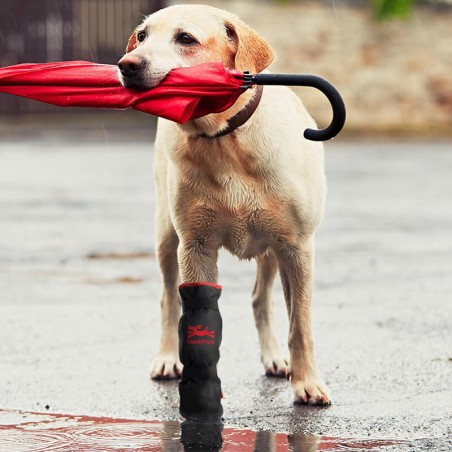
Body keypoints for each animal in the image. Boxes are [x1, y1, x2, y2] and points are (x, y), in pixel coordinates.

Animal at [116, 3, 330, 406]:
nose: (127, 64)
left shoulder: (297, 247)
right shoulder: (195, 247)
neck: (225, 139)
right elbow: (193, 316)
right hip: (166, 236)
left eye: (185, 38)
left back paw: (275, 357)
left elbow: (302, 324)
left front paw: (307, 382)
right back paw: (167, 358)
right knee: (168, 299)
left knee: (261, 299)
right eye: (142, 36)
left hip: (271, 249)